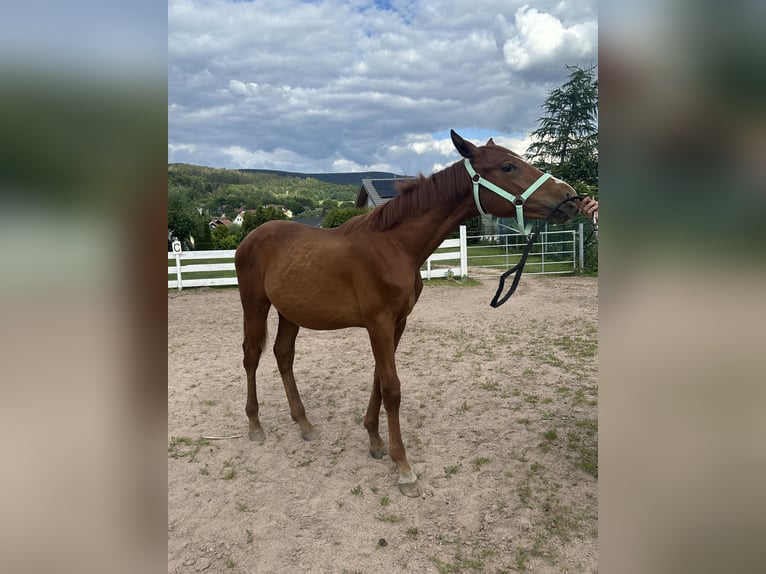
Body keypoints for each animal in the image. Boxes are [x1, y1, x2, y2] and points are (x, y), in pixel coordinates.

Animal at [237, 128, 580, 498]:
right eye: (507, 167)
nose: (571, 197)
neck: (394, 246)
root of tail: (250, 237)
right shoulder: (379, 324)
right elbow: (392, 388)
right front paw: (403, 467)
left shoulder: (397, 323)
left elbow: (378, 380)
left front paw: (375, 441)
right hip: (255, 305)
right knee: (252, 356)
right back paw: (255, 425)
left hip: (290, 312)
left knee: (283, 355)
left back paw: (304, 423)